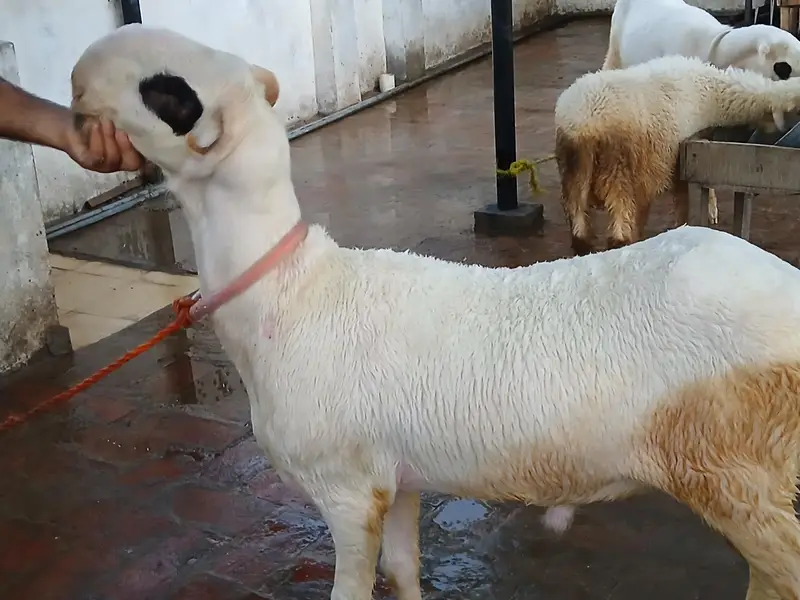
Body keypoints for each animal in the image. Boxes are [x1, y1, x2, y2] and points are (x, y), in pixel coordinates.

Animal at [554, 54, 799, 256]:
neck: (715, 94)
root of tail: (583, 127)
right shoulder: (678, 159)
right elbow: (682, 202)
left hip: (572, 173)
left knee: (580, 231)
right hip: (617, 169)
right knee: (618, 233)